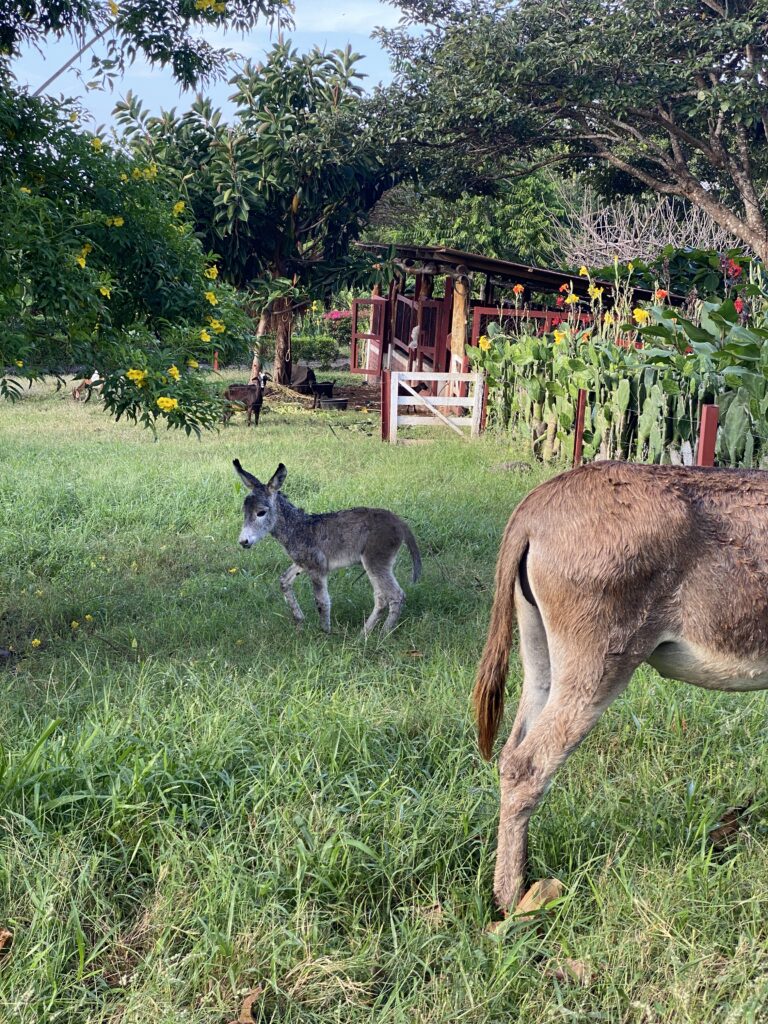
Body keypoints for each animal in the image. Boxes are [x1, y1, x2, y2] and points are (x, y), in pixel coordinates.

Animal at [234, 462, 423, 634]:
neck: (297, 528)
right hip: (375, 563)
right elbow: (284, 581)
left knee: (395, 595)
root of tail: (399, 522)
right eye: (244, 512)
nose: (243, 541)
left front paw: (325, 633)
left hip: (375, 560)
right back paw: (364, 634)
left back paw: (382, 634)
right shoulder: (302, 563)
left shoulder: (317, 568)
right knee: (381, 597)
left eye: (261, 513)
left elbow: (321, 601)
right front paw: (299, 620)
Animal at [475, 460, 768, 917]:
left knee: (511, 755)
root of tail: (539, 502)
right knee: (530, 766)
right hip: (597, 668)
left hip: (541, 659)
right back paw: (510, 900)